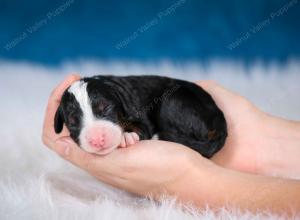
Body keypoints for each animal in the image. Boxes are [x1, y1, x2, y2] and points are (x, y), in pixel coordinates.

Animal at [54, 75, 227, 158]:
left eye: (106, 108)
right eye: (73, 121)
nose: (97, 140)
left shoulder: (141, 116)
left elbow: (141, 128)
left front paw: (126, 136)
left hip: (173, 100)